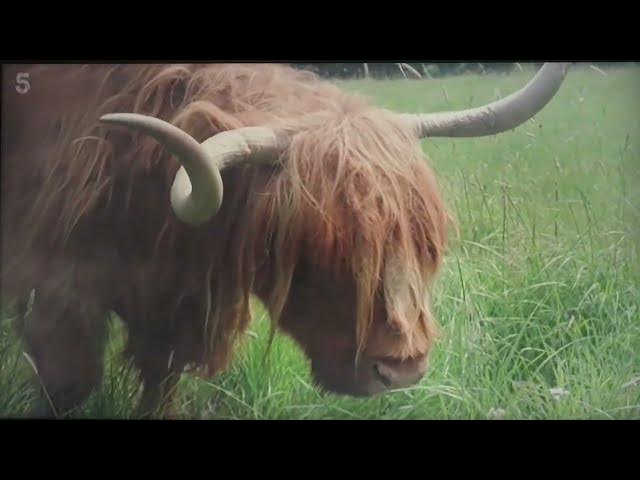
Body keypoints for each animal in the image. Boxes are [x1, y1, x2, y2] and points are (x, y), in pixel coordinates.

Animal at [0, 63, 570, 418]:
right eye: (317, 248)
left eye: (424, 242)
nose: (402, 369)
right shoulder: (60, 284)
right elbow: (66, 382)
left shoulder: (174, 307)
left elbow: (160, 383)